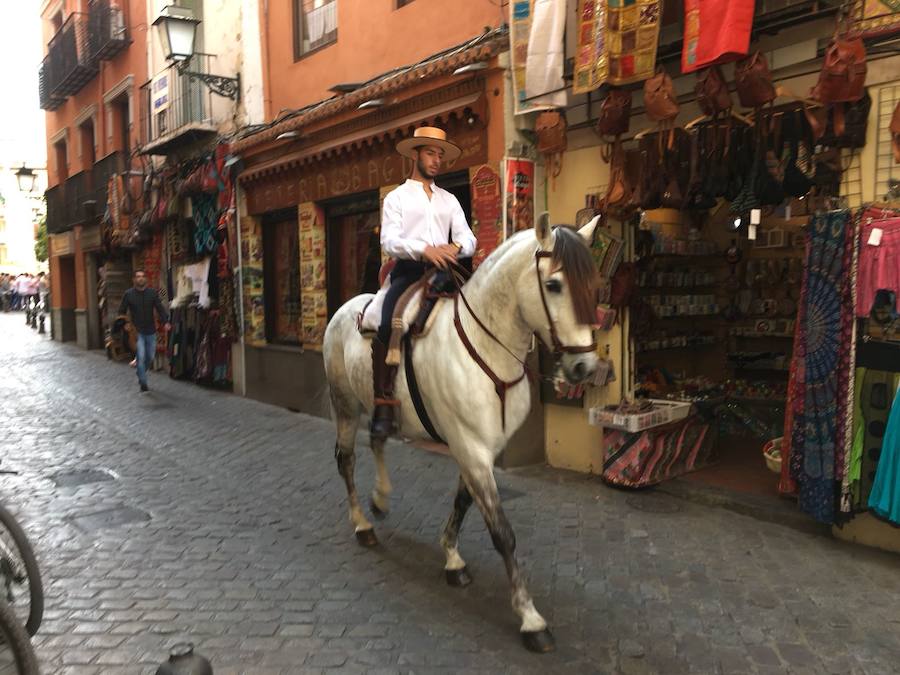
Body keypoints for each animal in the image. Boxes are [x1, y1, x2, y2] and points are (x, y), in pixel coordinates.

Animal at [320, 214, 600, 652]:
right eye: (554, 284)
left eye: (593, 282)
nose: (585, 367)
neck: (488, 348)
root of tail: (345, 309)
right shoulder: (471, 448)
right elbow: (502, 532)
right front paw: (530, 618)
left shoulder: (482, 448)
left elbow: (463, 502)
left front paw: (452, 558)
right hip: (345, 406)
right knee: (345, 460)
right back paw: (363, 524)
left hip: (379, 407)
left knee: (378, 438)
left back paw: (380, 499)